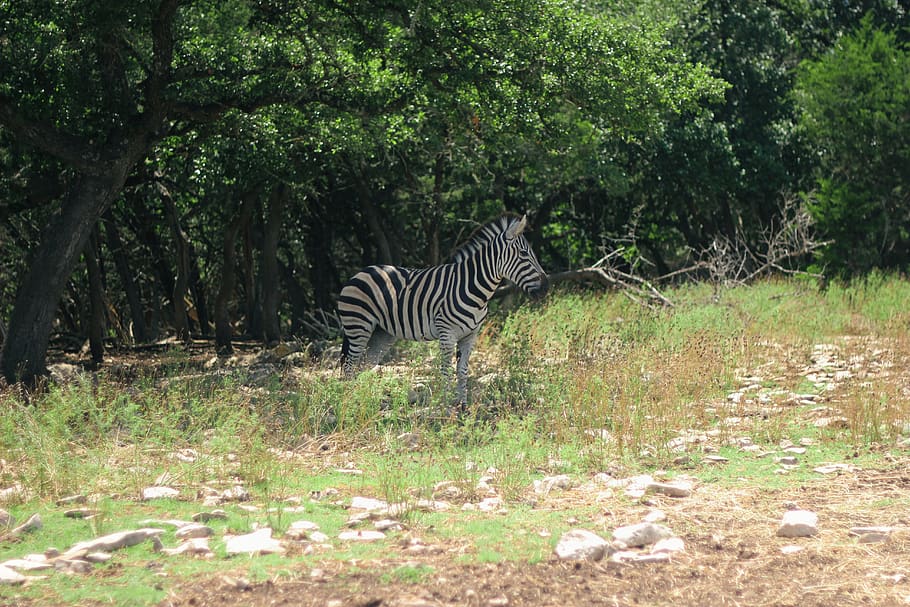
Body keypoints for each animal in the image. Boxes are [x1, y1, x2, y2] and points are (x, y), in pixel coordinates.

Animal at [337, 214, 548, 405]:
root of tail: (360, 273)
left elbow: (462, 371)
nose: (546, 288)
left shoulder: (470, 335)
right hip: (358, 326)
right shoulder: (447, 334)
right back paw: (348, 406)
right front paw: (446, 411)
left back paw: (365, 404)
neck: (472, 287)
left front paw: (463, 409)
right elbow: (446, 372)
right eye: (523, 254)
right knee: (349, 367)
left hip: (382, 333)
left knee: (363, 366)